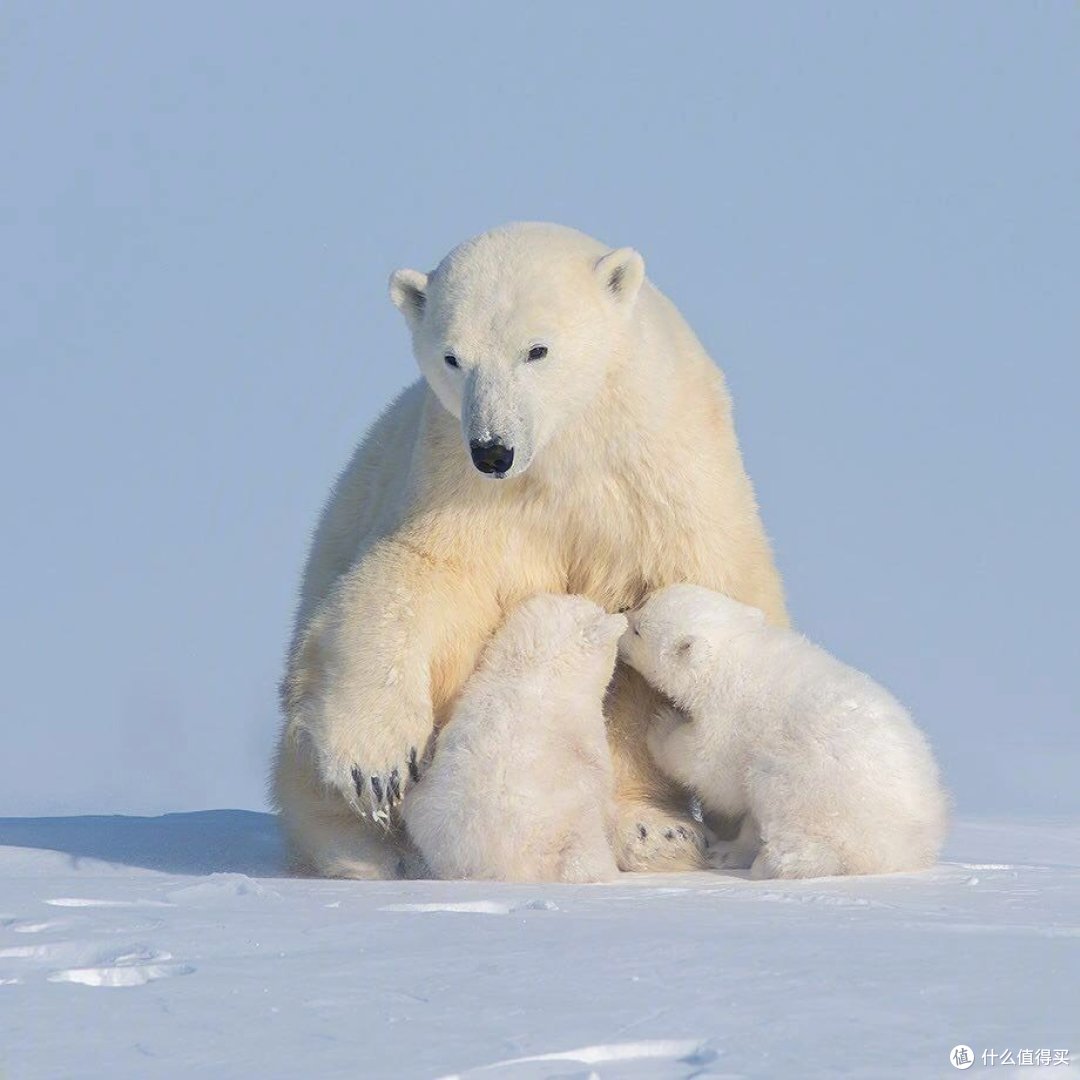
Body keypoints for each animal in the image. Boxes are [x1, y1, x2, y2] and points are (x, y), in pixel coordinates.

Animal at [618, 584, 950, 878]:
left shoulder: (729, 712)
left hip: (815, 785)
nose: (620, 615)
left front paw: (662, 722)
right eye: (641, 603)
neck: (736, 649)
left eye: (638, 630)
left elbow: (708, 765)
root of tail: (907, 849)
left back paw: (767, 861)